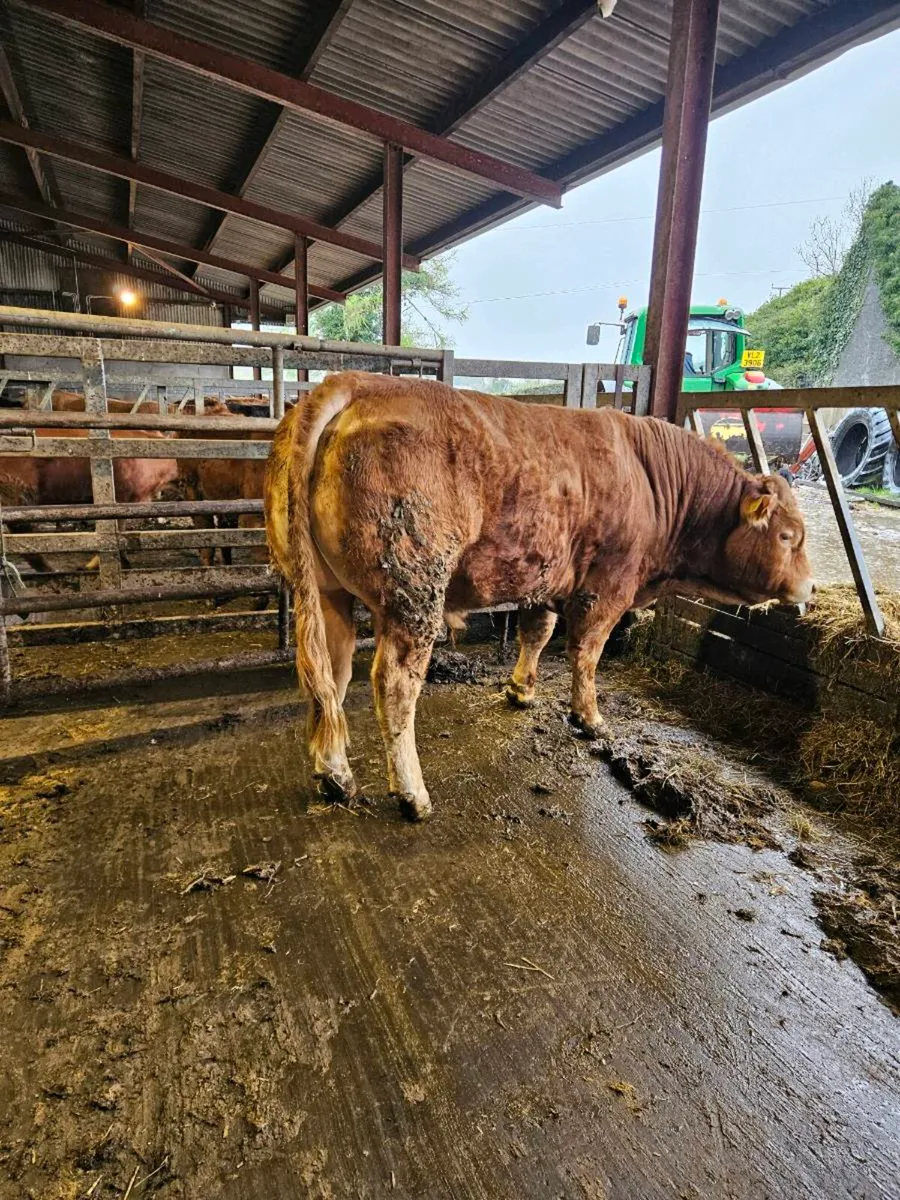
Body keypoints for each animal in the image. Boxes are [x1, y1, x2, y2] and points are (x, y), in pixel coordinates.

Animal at [265, 371, 813, 822]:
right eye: (788, 536)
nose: (810, 586)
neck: (650, 479)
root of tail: (356, 383)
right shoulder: (606, 587)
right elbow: (586, 654)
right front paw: (590, 718)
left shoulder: (544, 579)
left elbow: (537, 632)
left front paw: (521, 689)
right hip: (412, 593)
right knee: (396, 685)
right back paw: (412, 795)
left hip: (327, 592)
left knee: (331, 677)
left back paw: (335, 776)